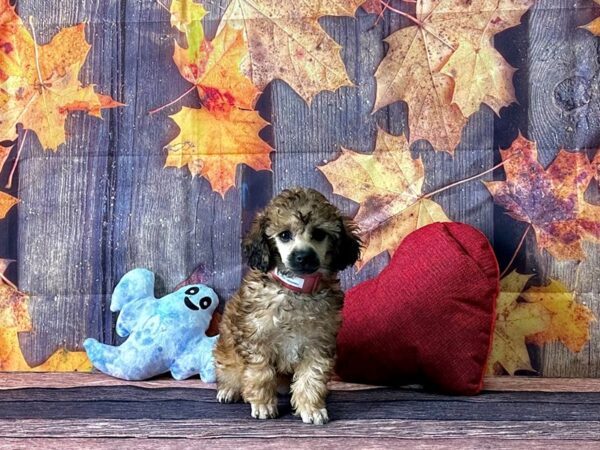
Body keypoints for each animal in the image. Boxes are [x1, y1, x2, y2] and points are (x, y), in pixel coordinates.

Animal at [214, 187, 360, 426]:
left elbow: (312, 377)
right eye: (284, 235)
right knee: (229, 371)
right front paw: (263, 404)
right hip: (226, 352)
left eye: (319, 234)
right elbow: (260, 374)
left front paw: (311, 408)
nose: (303, 256)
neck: (296, 289)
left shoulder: (319, 342)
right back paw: (229, 390)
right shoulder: (257, 339)